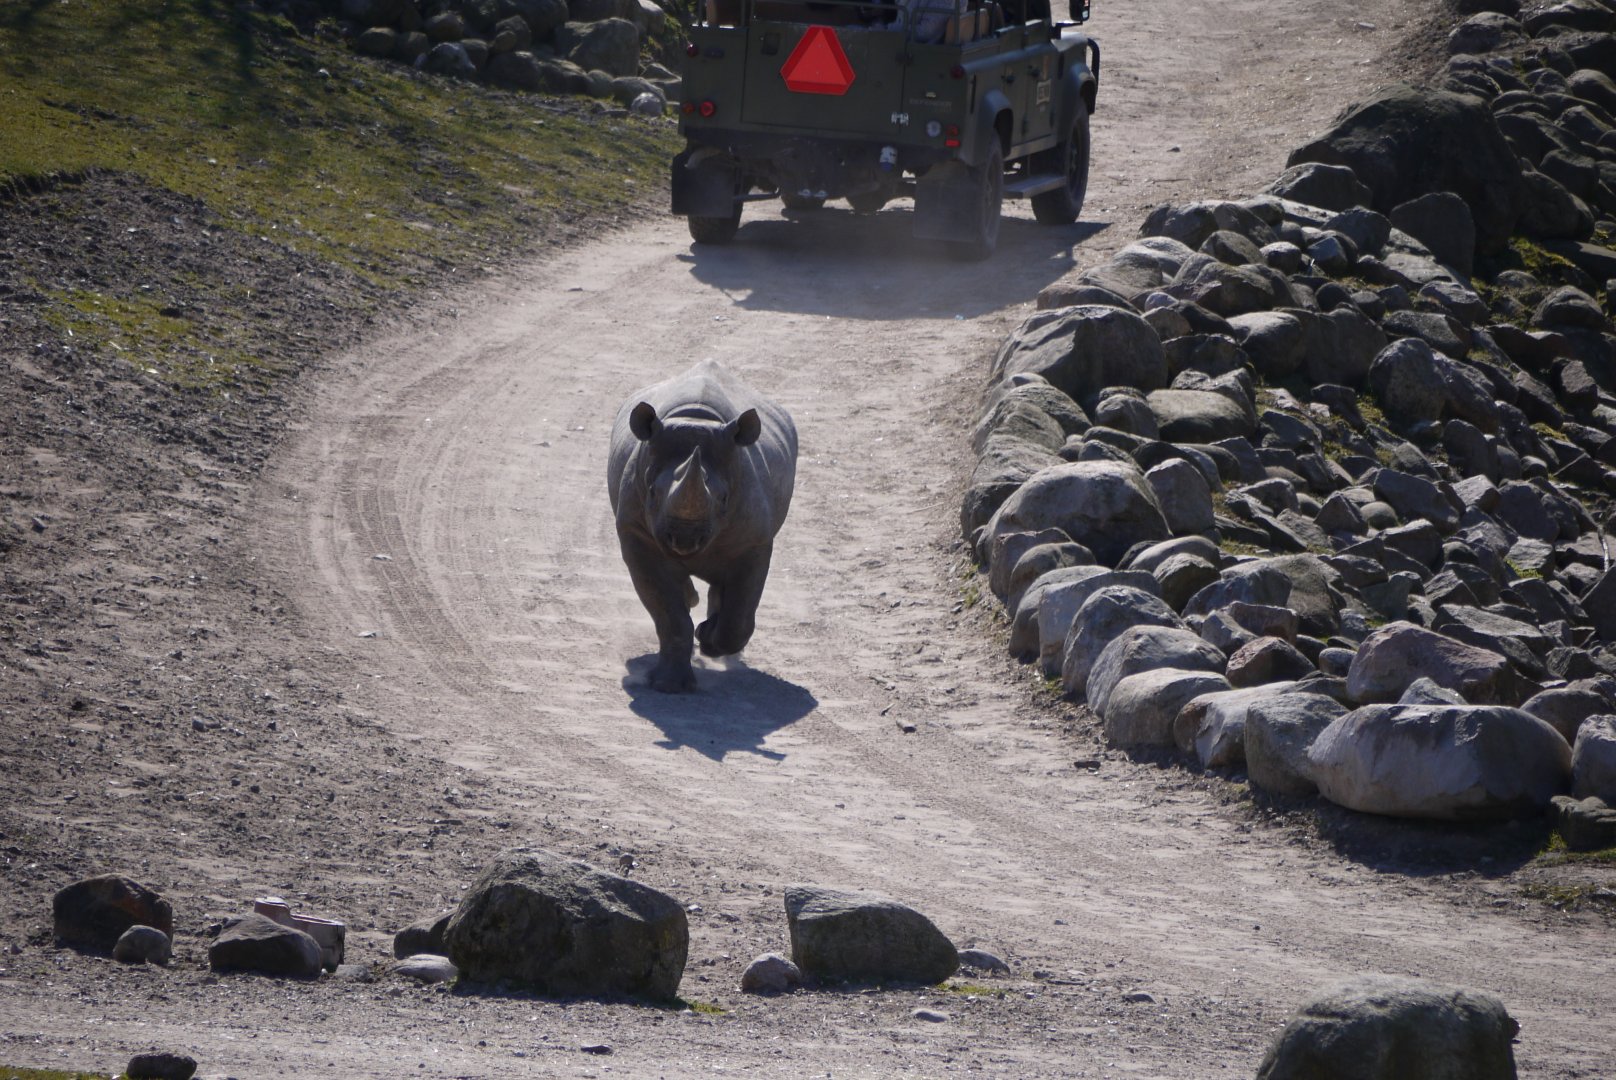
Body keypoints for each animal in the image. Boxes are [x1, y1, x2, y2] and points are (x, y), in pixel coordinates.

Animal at [607, 360, 798, 692]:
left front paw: (708, 639)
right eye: (652, 493)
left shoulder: (754, 541)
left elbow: (739, 615)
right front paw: (669, 686)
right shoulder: (636, 533)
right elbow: (669, 615)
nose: (684, 539)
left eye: (723, 498)